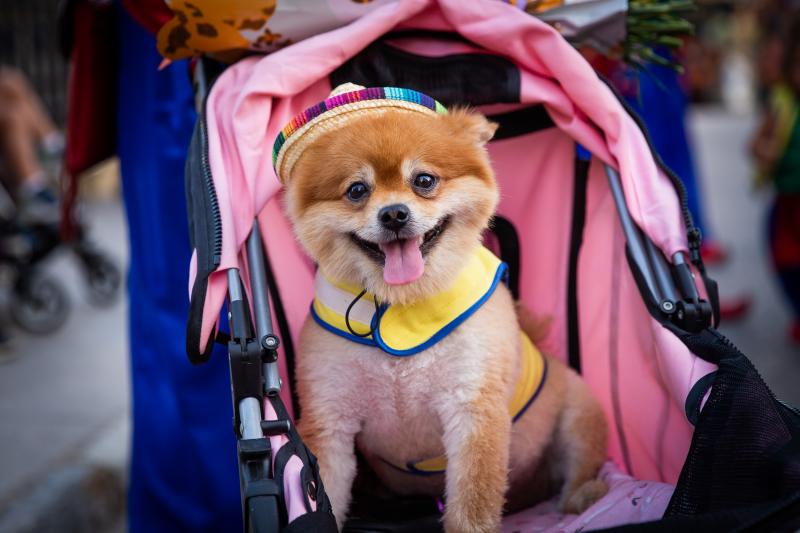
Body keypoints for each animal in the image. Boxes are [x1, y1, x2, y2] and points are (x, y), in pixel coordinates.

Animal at [276, 85, 608, 528]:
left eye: (424, 180)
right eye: (357, 190)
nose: (394, 214)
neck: (401, 305)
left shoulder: (472, 408)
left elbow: (472, 506)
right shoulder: (330, 420)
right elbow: (322, 492)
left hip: (578, 414)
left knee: (578, 470)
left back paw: (583, 495)